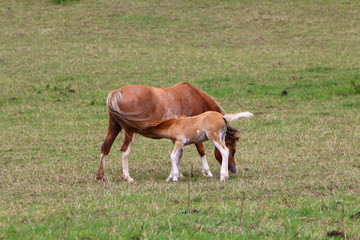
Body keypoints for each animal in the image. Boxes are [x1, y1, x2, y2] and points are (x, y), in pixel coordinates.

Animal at [95, 82, 239, 182]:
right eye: (233, 150)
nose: (233, 170)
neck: (195, 97)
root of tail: (118, 91)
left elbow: (179, 154)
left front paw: (178, 174)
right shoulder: (194, 131)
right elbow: (201, 150)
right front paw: (207, 172)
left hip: (114, 127)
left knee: (105, 147)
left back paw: (100, 176)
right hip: (130, 131)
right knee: (125, 150)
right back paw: (127, 177)